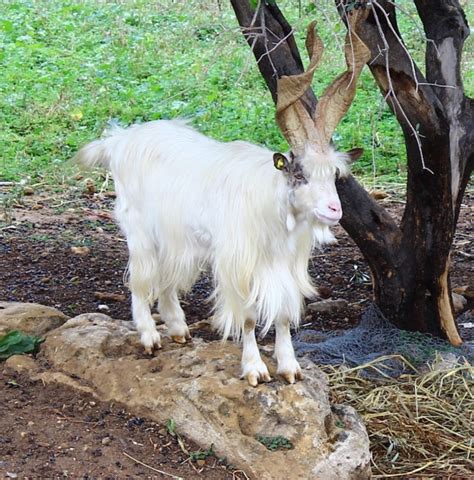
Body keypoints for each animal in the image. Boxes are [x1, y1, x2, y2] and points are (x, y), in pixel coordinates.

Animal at [75, 16, 370, 388]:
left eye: (334, 173)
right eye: (299, 174)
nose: (334, 210)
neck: (271, 207)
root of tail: (120, 139)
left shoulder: (286, 265)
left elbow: (283, 313)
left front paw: (289, 367)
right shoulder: (237, 263)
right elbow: (247, 317)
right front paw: (255, 369)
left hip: (174, 233)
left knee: (166, 276)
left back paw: (178, 328)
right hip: (138, 227)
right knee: (140, 278)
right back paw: (149, 336)